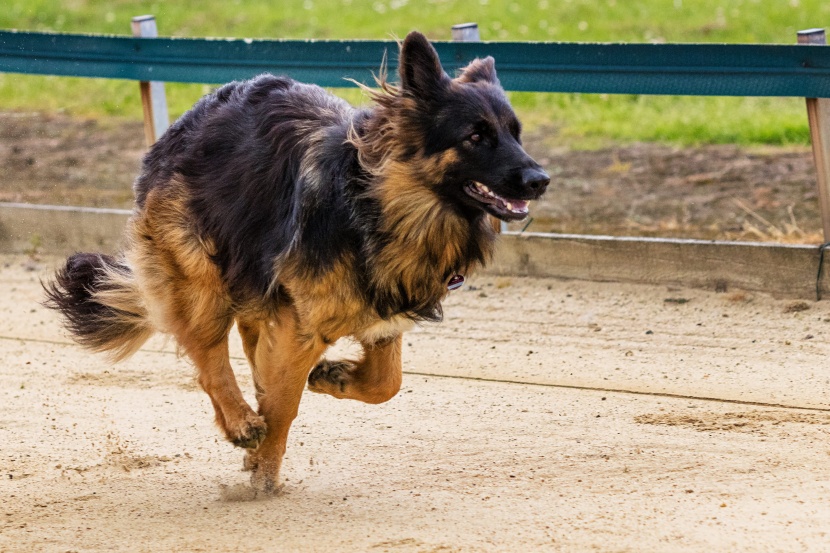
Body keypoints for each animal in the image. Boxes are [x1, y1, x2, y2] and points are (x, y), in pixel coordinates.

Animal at [45, 32, 552, 492]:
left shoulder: (380, 315)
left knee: (248, 354)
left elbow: (385, 383)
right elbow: (284, 401)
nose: (540, 179)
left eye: (515, 133)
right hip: (199, 275)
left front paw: (335, 377)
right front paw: (264, 477)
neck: (377, 204)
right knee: (209, 357)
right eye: (475, 136)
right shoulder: (300, 325)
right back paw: (240, 422)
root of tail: (192, 118)